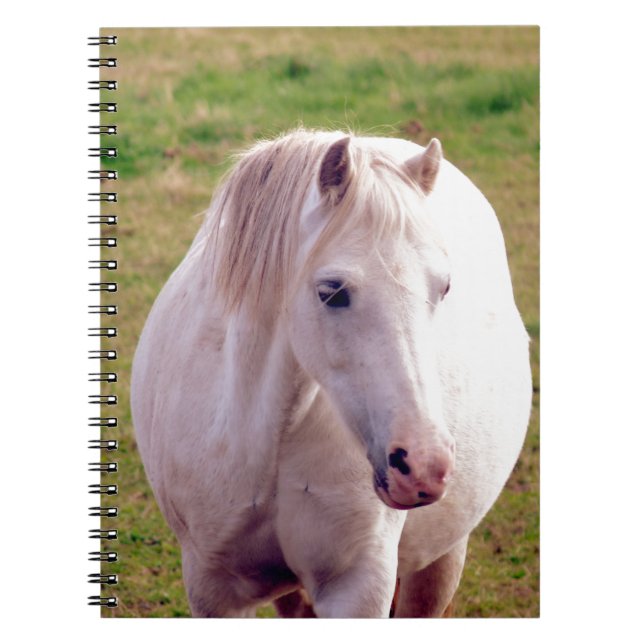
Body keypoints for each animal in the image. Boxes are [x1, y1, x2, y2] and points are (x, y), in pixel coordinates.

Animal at [131, 128, 532, 618]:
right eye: (332, 292)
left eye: (445, 287)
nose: (422, 465)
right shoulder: (213, 589)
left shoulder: (356, 590)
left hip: (442, 557)